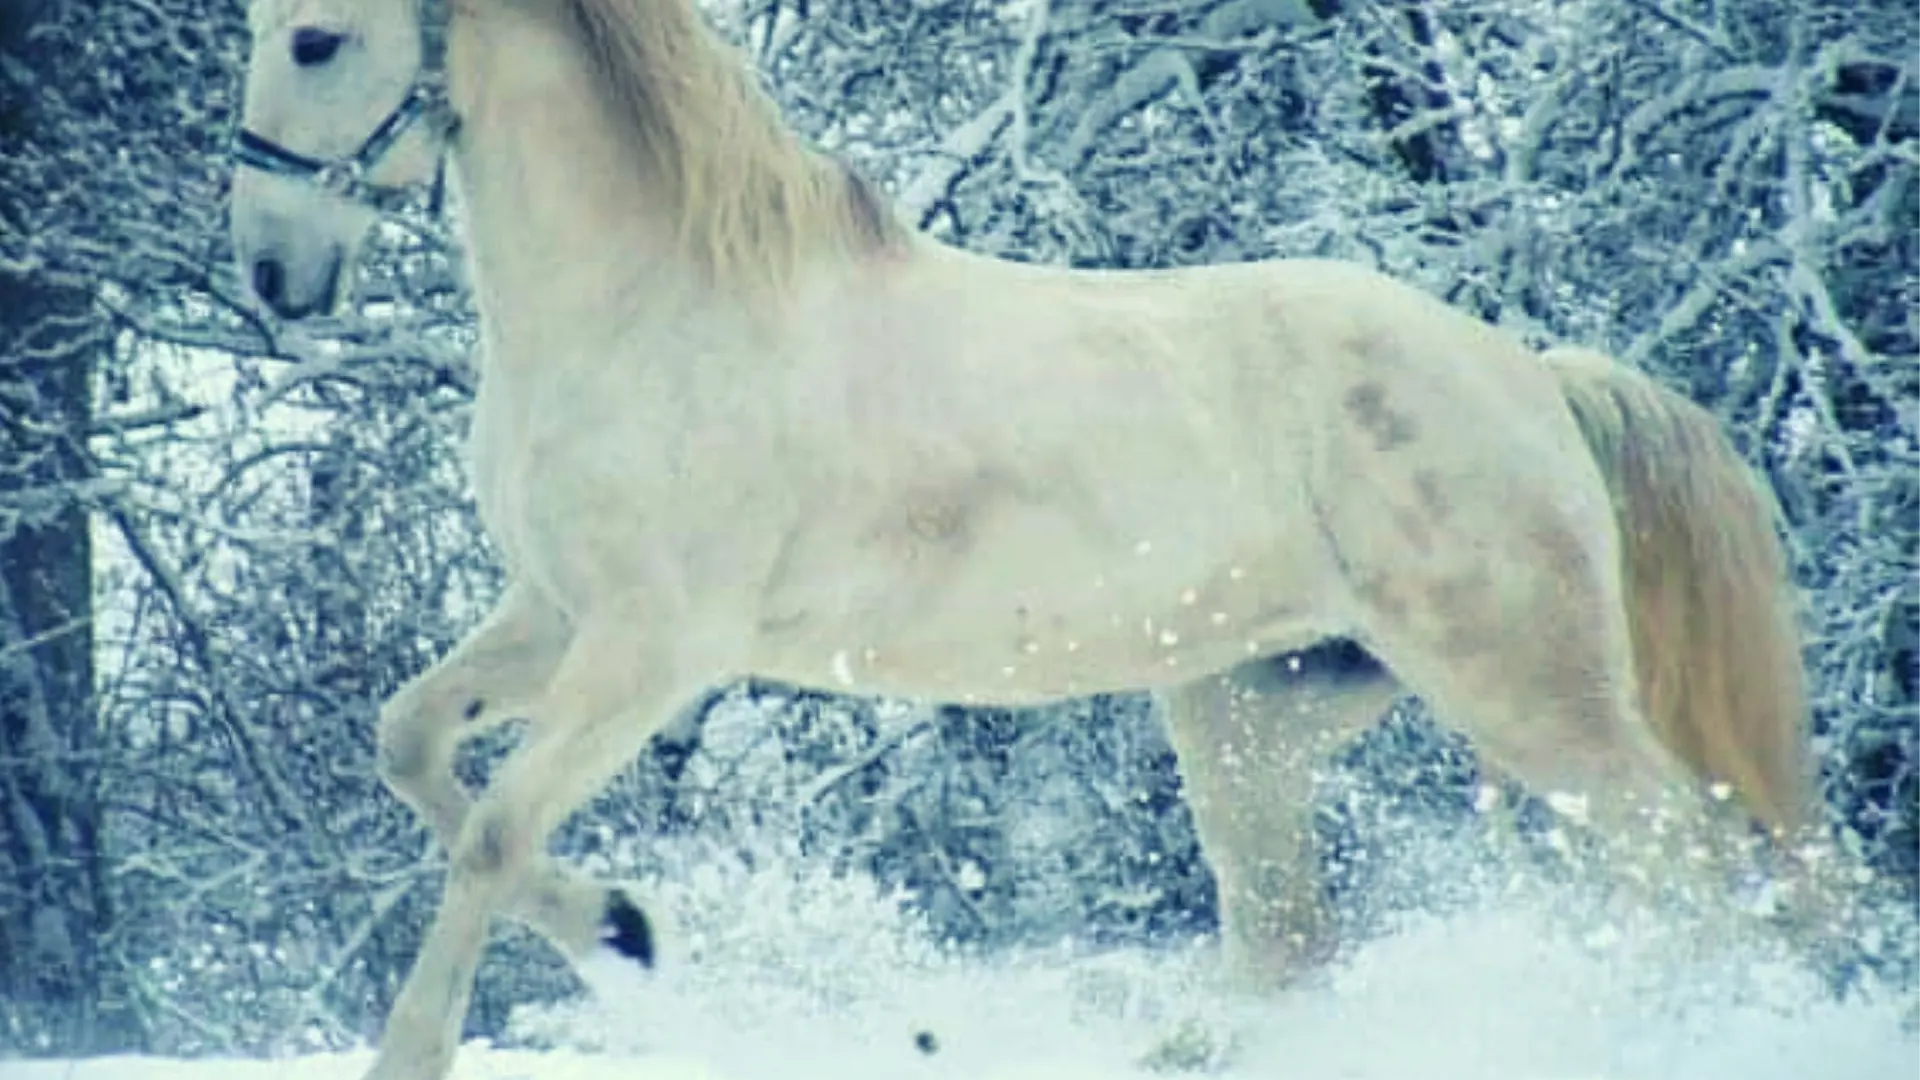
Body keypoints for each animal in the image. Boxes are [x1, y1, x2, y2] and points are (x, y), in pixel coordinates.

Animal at [228, 0, 1823, 1075]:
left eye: (314, 38)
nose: (270, 271)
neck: (654, 308)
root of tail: (1538, 377)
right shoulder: (553, 617)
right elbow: (411, 747)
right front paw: (628, 926)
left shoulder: (652, 649)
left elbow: (495, 829)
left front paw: (445, 1035)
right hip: (1252, 715)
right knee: (1292, 940)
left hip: (1527, 692)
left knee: (1697, 869)